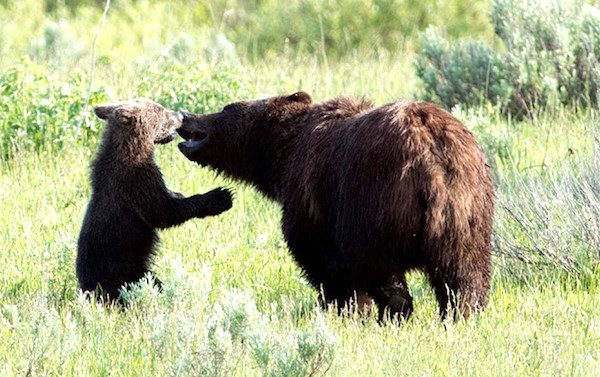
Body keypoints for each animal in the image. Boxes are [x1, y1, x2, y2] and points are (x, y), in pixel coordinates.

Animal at [77, 98, 232, 302]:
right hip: (124, 269)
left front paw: (179, 193)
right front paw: (221, 196)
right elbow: (162, 211)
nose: (179, 115)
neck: (133, 148)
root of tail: (87, 289)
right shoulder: (136, 180)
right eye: (161, 111)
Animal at [177, 92, 492, 318]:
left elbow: (323, 263)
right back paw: (461, 315)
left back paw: (392, 314)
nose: (186, 116)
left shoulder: (312, 196)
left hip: (375, 202)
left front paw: (343, 309)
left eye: (226, 108)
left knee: (381, 269)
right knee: (464, 276)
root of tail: (429, 152)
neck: (283, 155)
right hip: (468, 210)